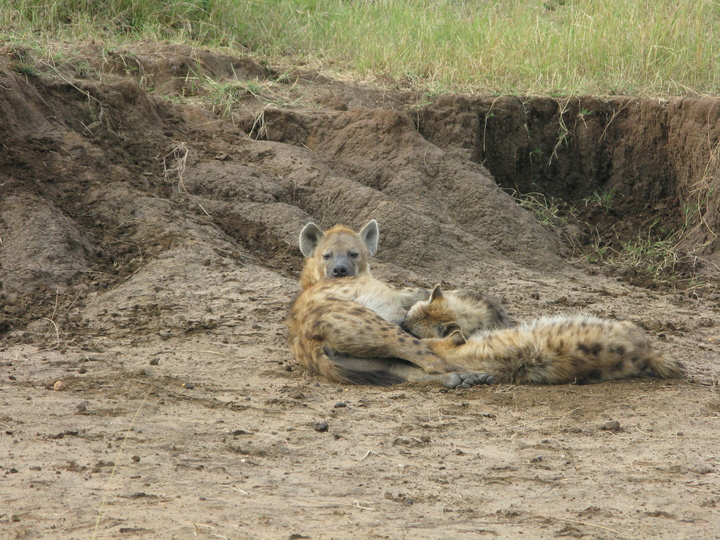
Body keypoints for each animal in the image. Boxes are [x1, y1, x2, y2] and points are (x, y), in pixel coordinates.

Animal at [287, 220, 495, 388]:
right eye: (327, 255)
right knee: (427, 356)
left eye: (353, 254)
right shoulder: (392, 291)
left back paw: (460, 378)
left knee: (403, 369)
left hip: (358, 362)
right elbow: (419, 291)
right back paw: (473, 372)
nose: (340, 269)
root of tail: (306, 339)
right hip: (373, 325)